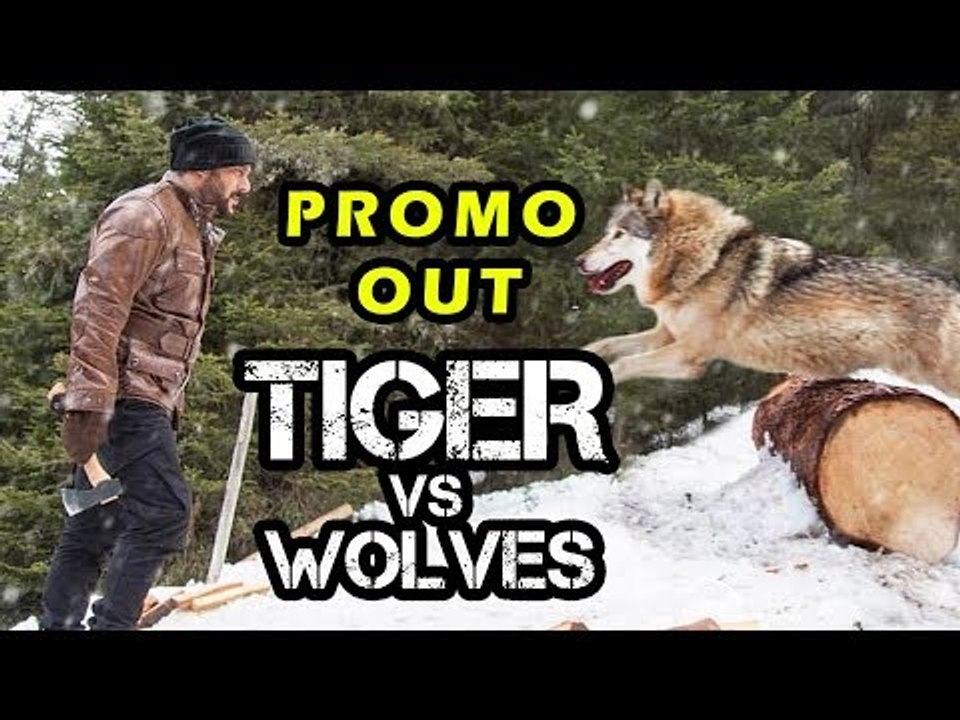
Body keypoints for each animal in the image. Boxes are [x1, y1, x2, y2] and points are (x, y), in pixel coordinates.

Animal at [576, 180, 960, 397]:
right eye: (606, 233)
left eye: (618, 235)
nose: (578, 261)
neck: (704, 265)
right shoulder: (664, 334)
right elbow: (604, 345)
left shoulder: (689, 357)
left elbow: (622, 365)